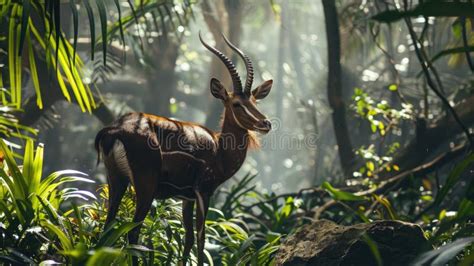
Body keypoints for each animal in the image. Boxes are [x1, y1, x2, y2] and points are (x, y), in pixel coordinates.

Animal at [94, 32, 272, 264]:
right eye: (236, 104)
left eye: (254, 102)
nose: (266, 123)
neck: (219, 148)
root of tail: (113, 130)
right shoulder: (203, 192)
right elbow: (201, 239)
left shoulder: (186, 198)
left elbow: (187, 239)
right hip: (145, 186)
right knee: (132, 232)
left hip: (116, 180)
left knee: (107, 228)